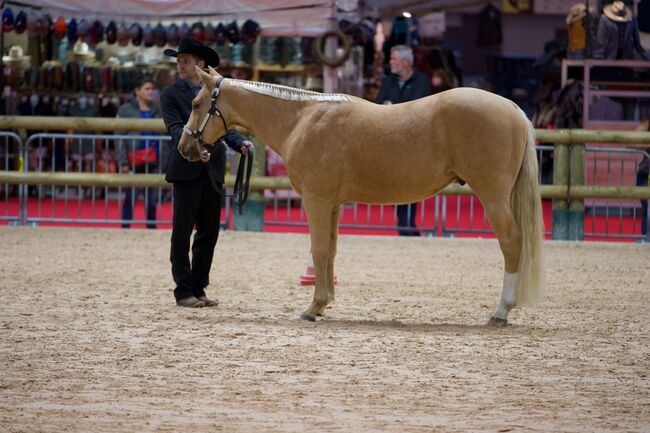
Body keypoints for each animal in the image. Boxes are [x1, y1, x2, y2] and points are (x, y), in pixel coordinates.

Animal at [178, 66, 540, 324]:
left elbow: (319, 249)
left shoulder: (316, 201)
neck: (302, 120)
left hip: (492, 195)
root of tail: (512, 108)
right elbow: (331, 251)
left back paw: (501, 311)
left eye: (196, 104)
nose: (184, 148)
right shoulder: (333, 205)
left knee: (511, 241)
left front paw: (313, 307)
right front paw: (325, 303)